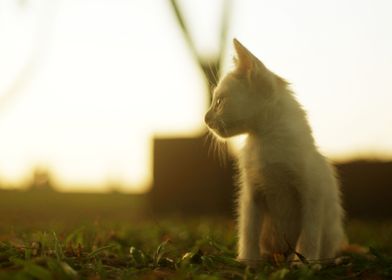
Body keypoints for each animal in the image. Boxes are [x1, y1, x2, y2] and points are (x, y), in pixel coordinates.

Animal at [205, 38, 346, 264]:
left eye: (219, 101)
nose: (206, 119)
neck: (266, 140)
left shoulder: (313, 192)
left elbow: (310, 232)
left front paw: (304, 262)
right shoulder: (251, 193)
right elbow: (249, 228)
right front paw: (248, 260)